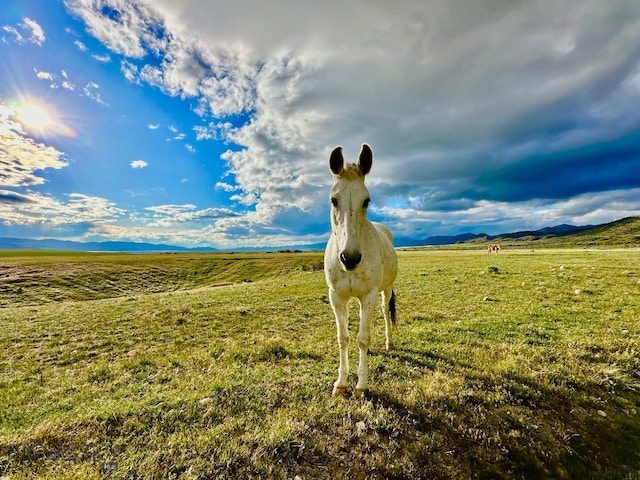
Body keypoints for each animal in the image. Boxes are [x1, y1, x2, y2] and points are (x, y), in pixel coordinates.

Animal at [322, 142, 398, 398]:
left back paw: (389, 343)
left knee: (385, 312)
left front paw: (362, 385)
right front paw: (340, 383)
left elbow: (363, 339)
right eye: (333, 200)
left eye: (367, 201)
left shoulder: (369, 295)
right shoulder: (337, 297)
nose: (350, 258)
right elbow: (343, 338)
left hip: (385, 290)